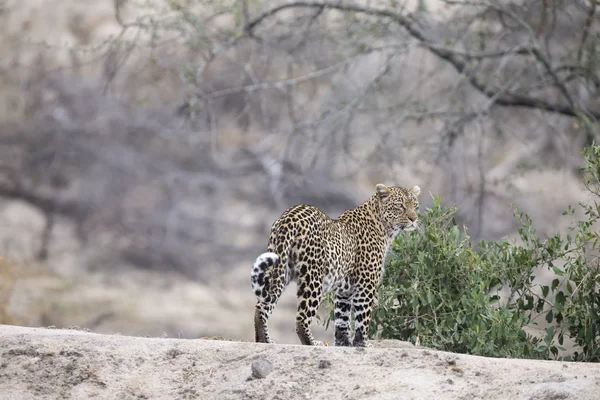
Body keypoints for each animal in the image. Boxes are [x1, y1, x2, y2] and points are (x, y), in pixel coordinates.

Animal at [250, 184, 422, 346]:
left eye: (415, 205)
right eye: (400, 206)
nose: (413, 219)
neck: (385, 228)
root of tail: (288, 217)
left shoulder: (344, 289)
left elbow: (342, 319)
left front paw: (343, 343)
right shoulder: (366, 284)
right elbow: (362, 318)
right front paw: (362, 344)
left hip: (279, 269)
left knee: (261, 307)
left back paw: (264, 341)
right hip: (313, 277)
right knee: (301, 318)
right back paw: (313, 343)